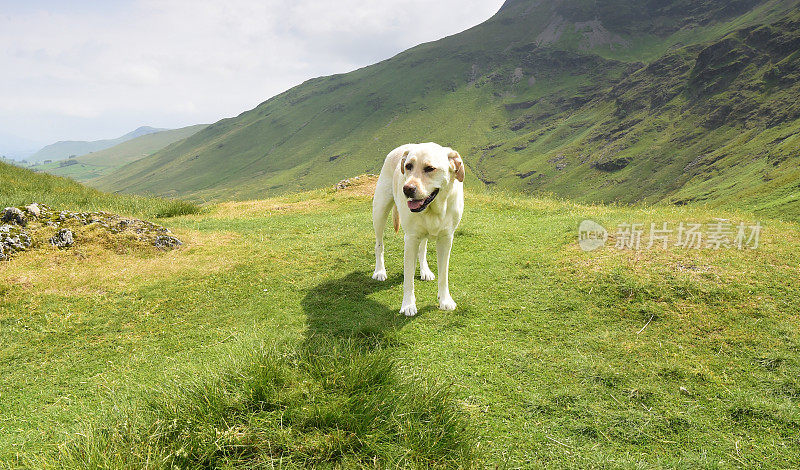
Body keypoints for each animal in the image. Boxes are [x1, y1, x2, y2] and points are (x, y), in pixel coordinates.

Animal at [372, 142, 466, 316]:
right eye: (408, 166)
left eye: (429, 168)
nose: (407, 189)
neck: (434, 209)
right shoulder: (410, 239)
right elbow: (408, 277)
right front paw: (408, 305)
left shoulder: (446, 239)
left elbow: (444, 274)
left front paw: (445, 300)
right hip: (380, 211)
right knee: (379, 245)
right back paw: (380, 271)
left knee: (422, 248)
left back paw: (425, 270)